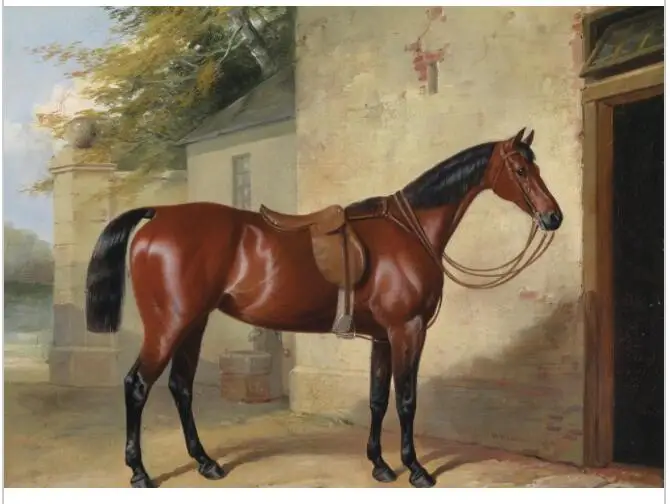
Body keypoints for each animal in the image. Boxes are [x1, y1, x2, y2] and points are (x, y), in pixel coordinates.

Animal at [85, 127, 562, 488]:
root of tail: (159, 215)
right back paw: (140, 473)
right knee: (137, 386)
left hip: (193, 324)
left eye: (537, 166)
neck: (408, 231)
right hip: (168, 326)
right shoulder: (407, 330)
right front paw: (416, 469)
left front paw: (380, 465)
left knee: (180, 387)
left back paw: (206, 463)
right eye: (520, 169)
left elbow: (377, 398)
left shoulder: (383, 337)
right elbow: (406, 399)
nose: (553, 217)